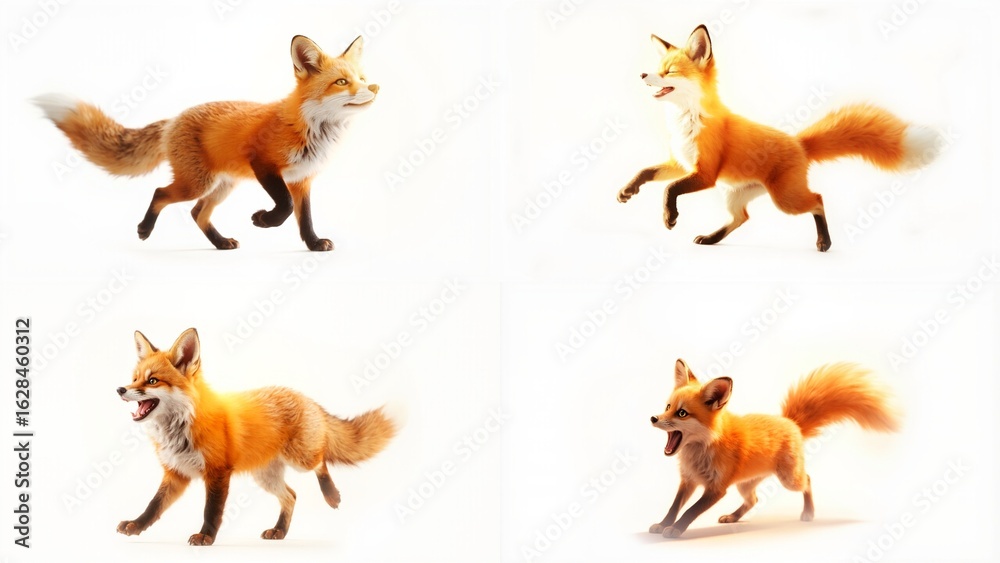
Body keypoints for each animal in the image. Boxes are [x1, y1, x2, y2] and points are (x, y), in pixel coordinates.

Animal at [36, 35, 378, 251]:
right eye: (342, 82)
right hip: (197, 183)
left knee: (197, 213)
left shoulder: (302, 179)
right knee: (161, 193)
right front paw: (264, 220)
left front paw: (313, 244)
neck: (310, 128)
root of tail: (173, 119)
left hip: (221, 185)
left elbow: (304, 218)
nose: (374, 89)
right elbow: (285, 206)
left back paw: (220, 242)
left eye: (362, 78)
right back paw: (145, 229)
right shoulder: (263, 164)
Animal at [115, 328, 396, 546]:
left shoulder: (218, 472)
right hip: (265, 477)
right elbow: (154, 506)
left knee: (321, 461)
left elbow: (211, 510)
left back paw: (331, 495)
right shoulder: (176, 473)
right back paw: (280, 531)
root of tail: (305, 397)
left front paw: (206, 537)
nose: (120, 389)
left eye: (152, 381)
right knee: (291, 495)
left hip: (300, 459)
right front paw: (136, 525)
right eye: (134, 379)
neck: (180, 428)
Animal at [617, 25, 938, 251]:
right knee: (741, 218)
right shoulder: (681, 164)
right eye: (657, 69)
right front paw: (628, 190)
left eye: (669, 72)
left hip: (785, 200)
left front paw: (669, 216)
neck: (687, 122)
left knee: (818, 200)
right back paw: (711, 239)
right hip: (735, 195)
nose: (643, 74)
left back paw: (824, 242)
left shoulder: (705, 173)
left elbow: (669, 189)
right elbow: (646, 172)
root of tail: (799, 144)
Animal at [648, 359, 898, 538]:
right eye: (667, 407)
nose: (653, 418)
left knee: (808, 480)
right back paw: (734, 517)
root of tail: (791, 422)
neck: (703, 449)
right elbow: (673, 508)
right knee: (754, 500)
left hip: (789, 480)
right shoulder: (688, 481)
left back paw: (808, 513)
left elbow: (690, 511)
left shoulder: (717, 489)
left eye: (682, 413)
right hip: (745, 485)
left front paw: (676, 529)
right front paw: (663, 524)